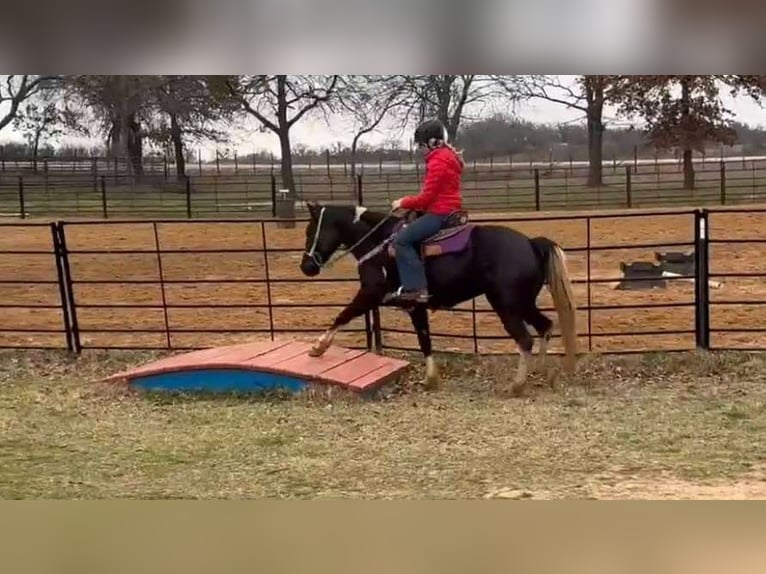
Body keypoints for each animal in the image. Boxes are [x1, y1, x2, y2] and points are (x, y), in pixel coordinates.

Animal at [298, 202, 576, 396]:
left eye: (310, 231)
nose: (306, 267)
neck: (379, 244)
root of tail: (530, 243)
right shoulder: (416, 306)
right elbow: (425, 339)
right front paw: (431, 379)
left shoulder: (370, 293)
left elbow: (343, 315)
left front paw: (317, 348)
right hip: (523, 303)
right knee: (545, 326)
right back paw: (543, 373)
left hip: (507, 305)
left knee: (525, 339)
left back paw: (517, 386)